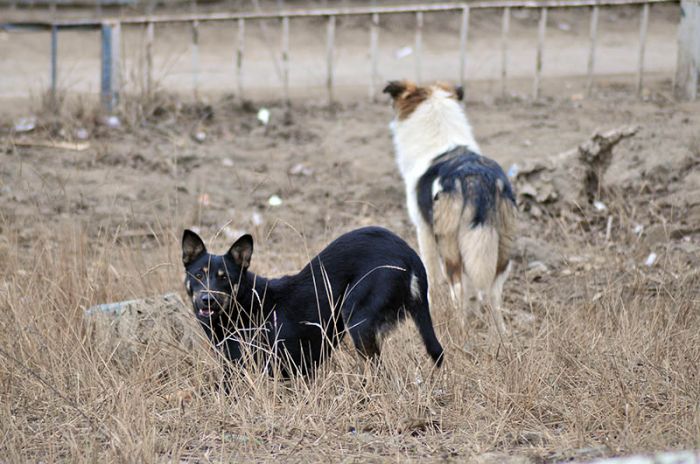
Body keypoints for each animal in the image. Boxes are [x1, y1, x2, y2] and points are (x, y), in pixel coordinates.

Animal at [180, 226, 442, 376]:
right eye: (199, 275)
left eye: (225, 278)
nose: (206, 300)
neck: (243, 302)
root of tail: (408, 253)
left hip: (358, 318)